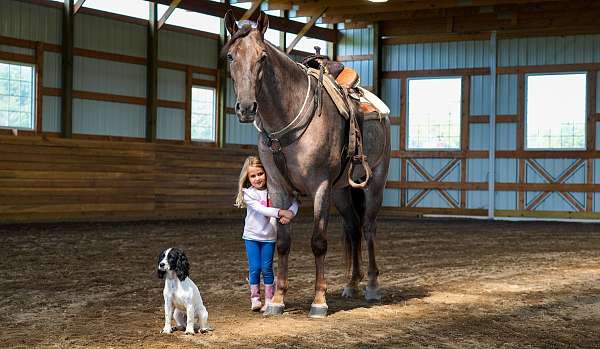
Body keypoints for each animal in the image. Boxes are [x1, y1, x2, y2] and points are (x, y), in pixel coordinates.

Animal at [223, 10, 392, 316]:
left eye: (262, 56)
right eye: (231, 56)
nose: (246, 108)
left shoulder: (321, 186)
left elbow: (318, 242)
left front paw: (319, 301)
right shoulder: (278, 187)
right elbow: (282, 242)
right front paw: (277, 300)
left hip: (374, 183)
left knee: (369, 227)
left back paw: (372, 286)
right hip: (342, 191)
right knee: (353, 228)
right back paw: (351, 284)